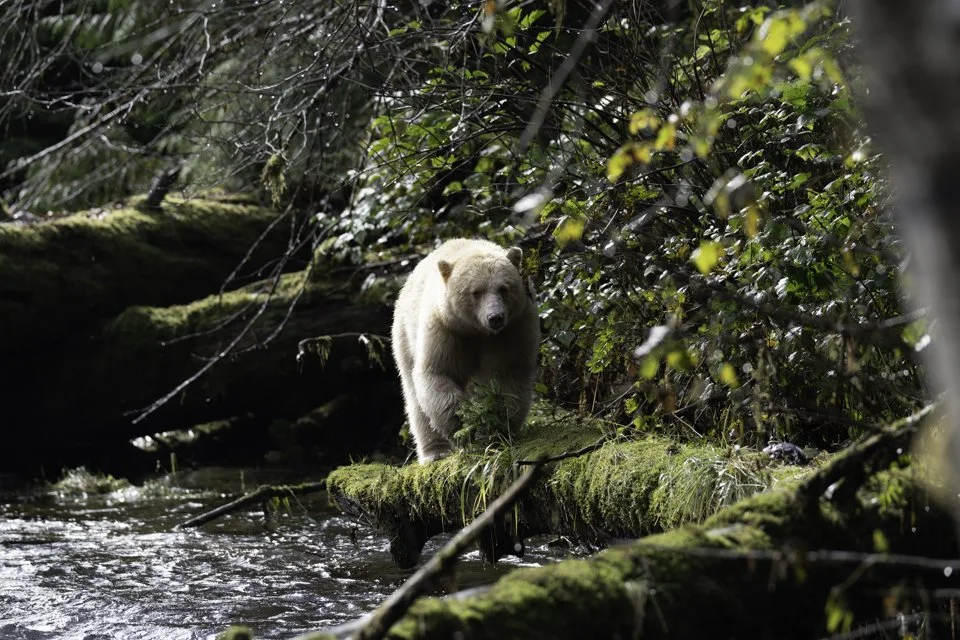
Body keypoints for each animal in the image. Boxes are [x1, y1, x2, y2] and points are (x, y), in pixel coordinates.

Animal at [391, 238, 540, 463]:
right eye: (476, 292)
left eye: (503, 288)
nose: (495, 317)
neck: (477, 331)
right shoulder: (445, 329)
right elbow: (437, 373)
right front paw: (466, 428)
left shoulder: (514, 330)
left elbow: (509, 375)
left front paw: (500, 429)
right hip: (404, 334)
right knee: (414, 398)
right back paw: (435, 451)